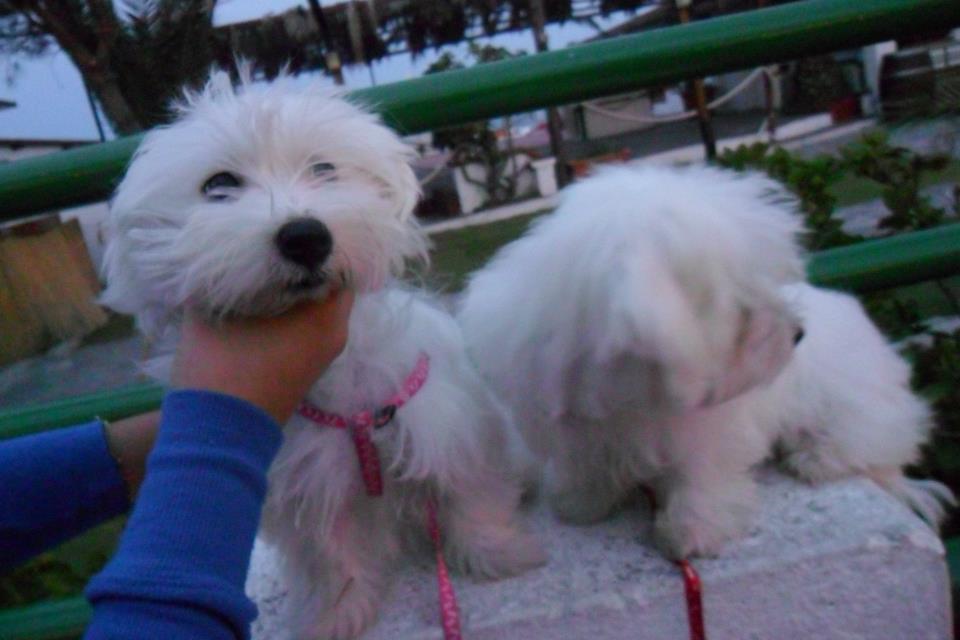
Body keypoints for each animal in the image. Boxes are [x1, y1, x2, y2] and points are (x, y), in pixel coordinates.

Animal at [101, 70, 545, 639]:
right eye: (218, 185)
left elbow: (470, 493)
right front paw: (337, 614)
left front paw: (501, 554)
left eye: (324, 169)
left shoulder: (444, 423)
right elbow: (330, 555)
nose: (305, 236)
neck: (343, 388)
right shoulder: (304, 484)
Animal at [458, 164, 954, 559]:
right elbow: (588, 467)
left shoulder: (709, 436)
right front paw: (582, 504)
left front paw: (689, 534)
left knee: (872, 443)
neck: (633, 396)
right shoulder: (578, 428)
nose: (797, 334)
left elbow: (700, 481)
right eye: (741, 308)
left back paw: (815, 457)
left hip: (854, 402)